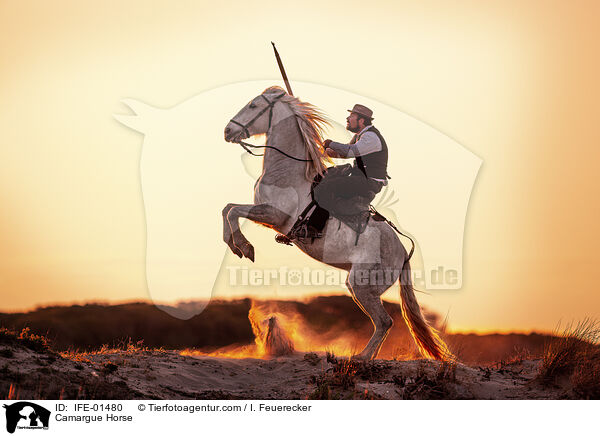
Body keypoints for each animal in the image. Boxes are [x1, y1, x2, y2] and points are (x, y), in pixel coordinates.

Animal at [223, 86, 452, 362]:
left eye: (254, 106)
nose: (227, 131)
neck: (287, 172)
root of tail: (403, 254)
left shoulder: (273, 215)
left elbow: (233, 211)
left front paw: (244, 247)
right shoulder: (265, 214)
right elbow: (227, 209)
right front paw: (233, 244)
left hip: (362, 285)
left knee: (385, 322)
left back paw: (362, 357)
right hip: (358, 287)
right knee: (383, 323)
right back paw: (366, 356)